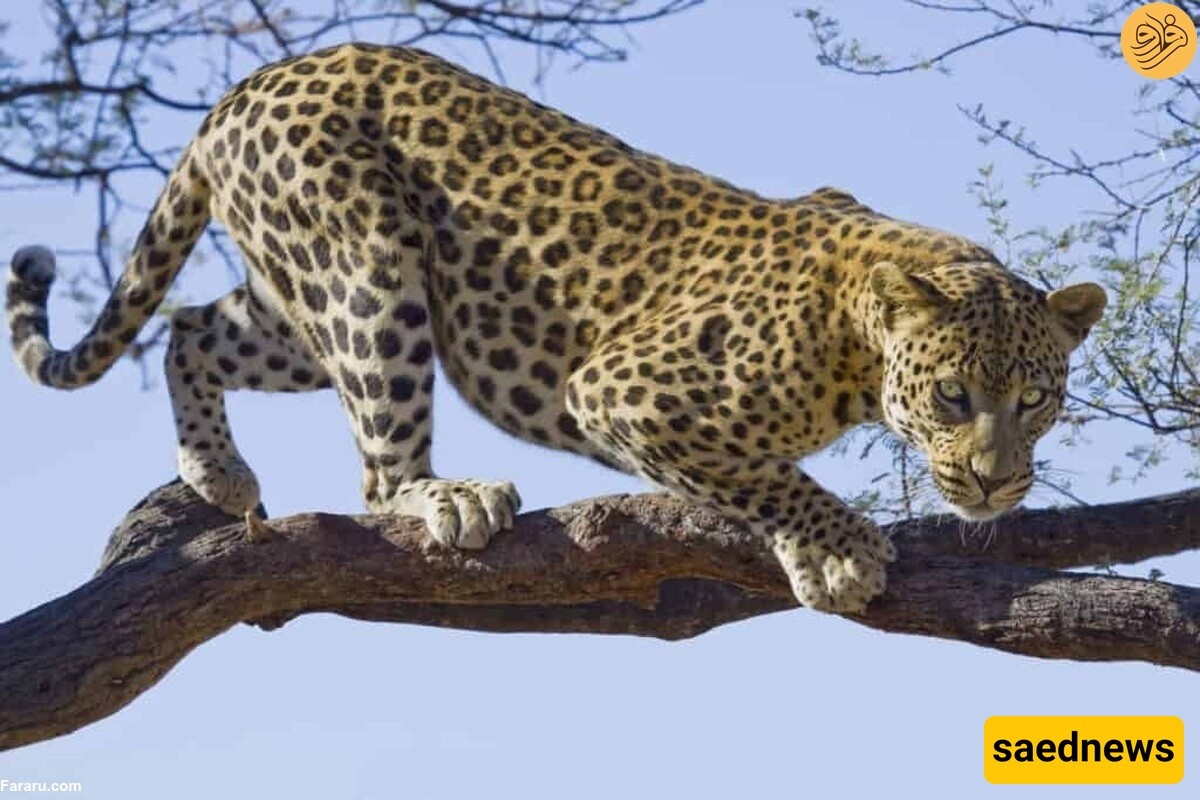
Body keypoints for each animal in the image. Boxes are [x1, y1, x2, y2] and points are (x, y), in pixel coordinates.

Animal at [6, 43, 1106, 613]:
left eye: (1037, 398)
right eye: (953, 395)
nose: (994, 483)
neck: (856, 344)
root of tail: (244, 86)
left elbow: (758, 472)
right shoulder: (624, 390)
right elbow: (764, 472)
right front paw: (834, 550)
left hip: (299, 298)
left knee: (192, 326)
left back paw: (218, 473)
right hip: (370, 266)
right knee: (377, 472)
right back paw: (447, 497)